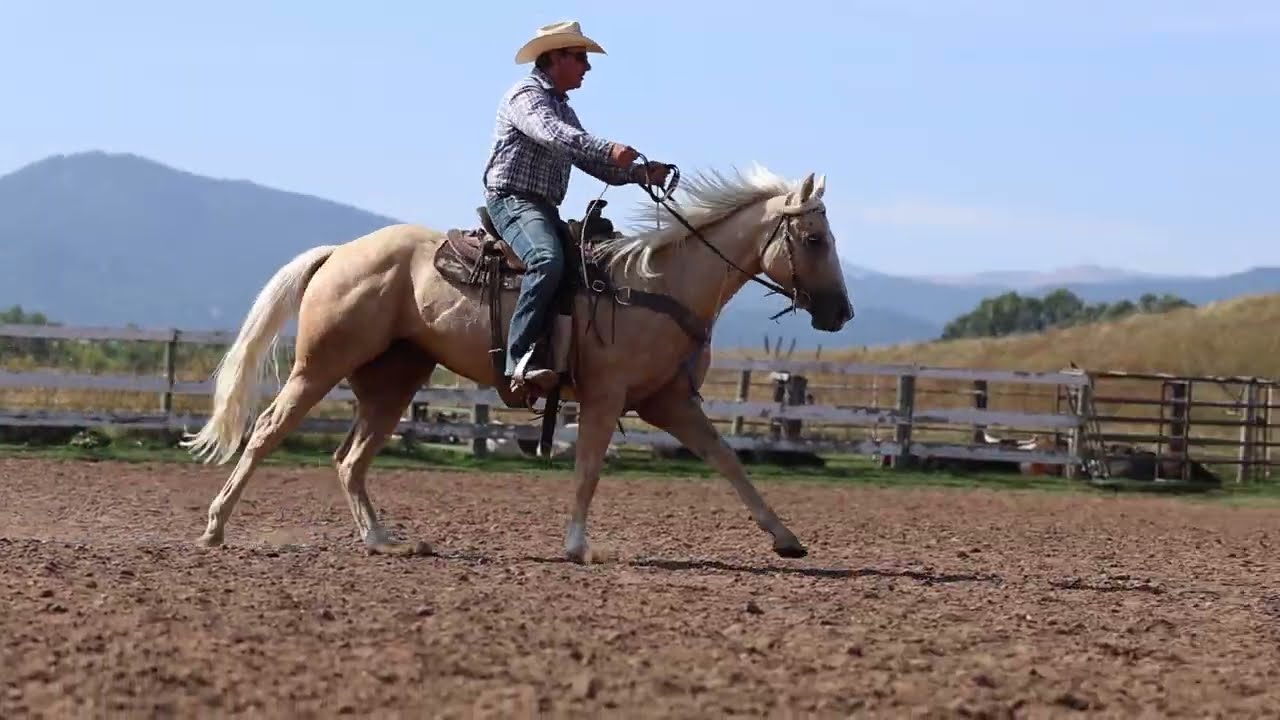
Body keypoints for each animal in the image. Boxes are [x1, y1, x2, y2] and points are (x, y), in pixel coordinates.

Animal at [180, 163, 854, 564]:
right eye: (814, 239)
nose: (841, 312)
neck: (657, 283)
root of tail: (341, 252)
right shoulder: (606, 395)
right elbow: (588, 470)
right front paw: (578, 546)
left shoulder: (669, 400)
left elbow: (727, 461)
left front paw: (786, 538)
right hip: (320, 364)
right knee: (268, 432)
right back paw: (214, 528)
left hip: (394, 379)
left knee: (350, 458)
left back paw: (381, 539)